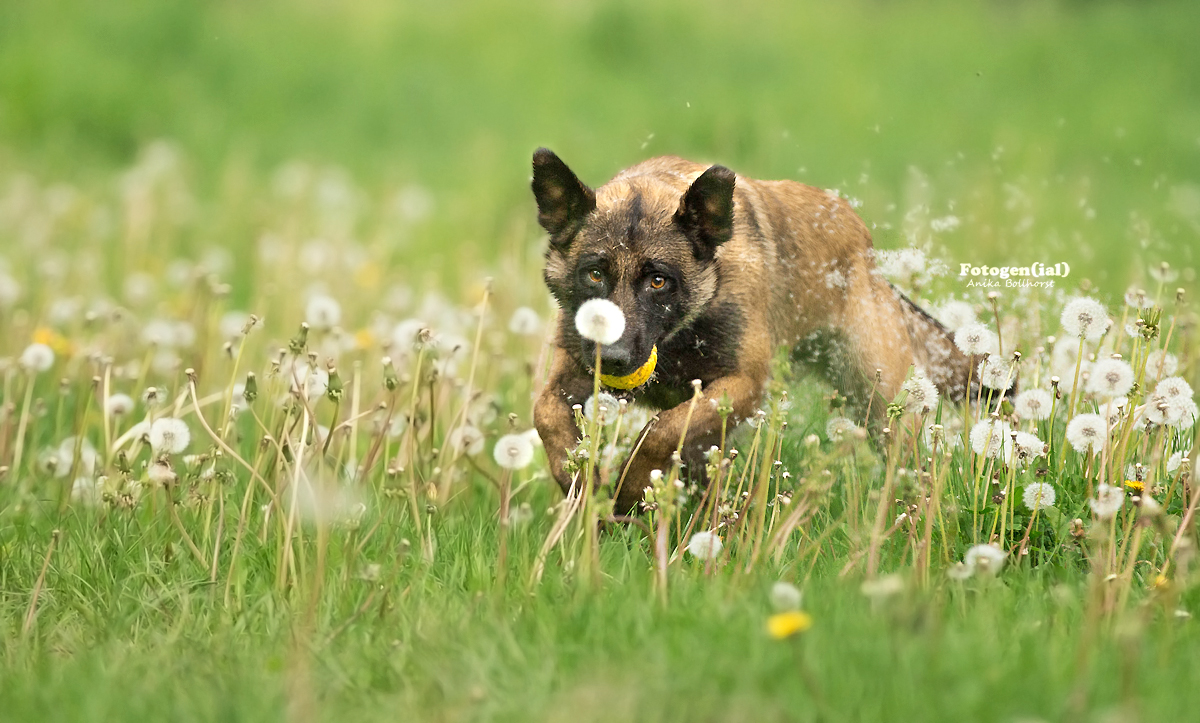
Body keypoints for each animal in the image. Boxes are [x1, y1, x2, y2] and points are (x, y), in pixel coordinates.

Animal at [530, 146, 969, 509]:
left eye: (658, 281)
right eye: (594, 274)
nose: (614, 359)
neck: (679, 337)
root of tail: (866, 248)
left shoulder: (743, 384)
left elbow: (661, 431)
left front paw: (630, 486)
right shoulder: (571, 368)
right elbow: (545, 414)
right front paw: (576, 478)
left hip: (882, 410)